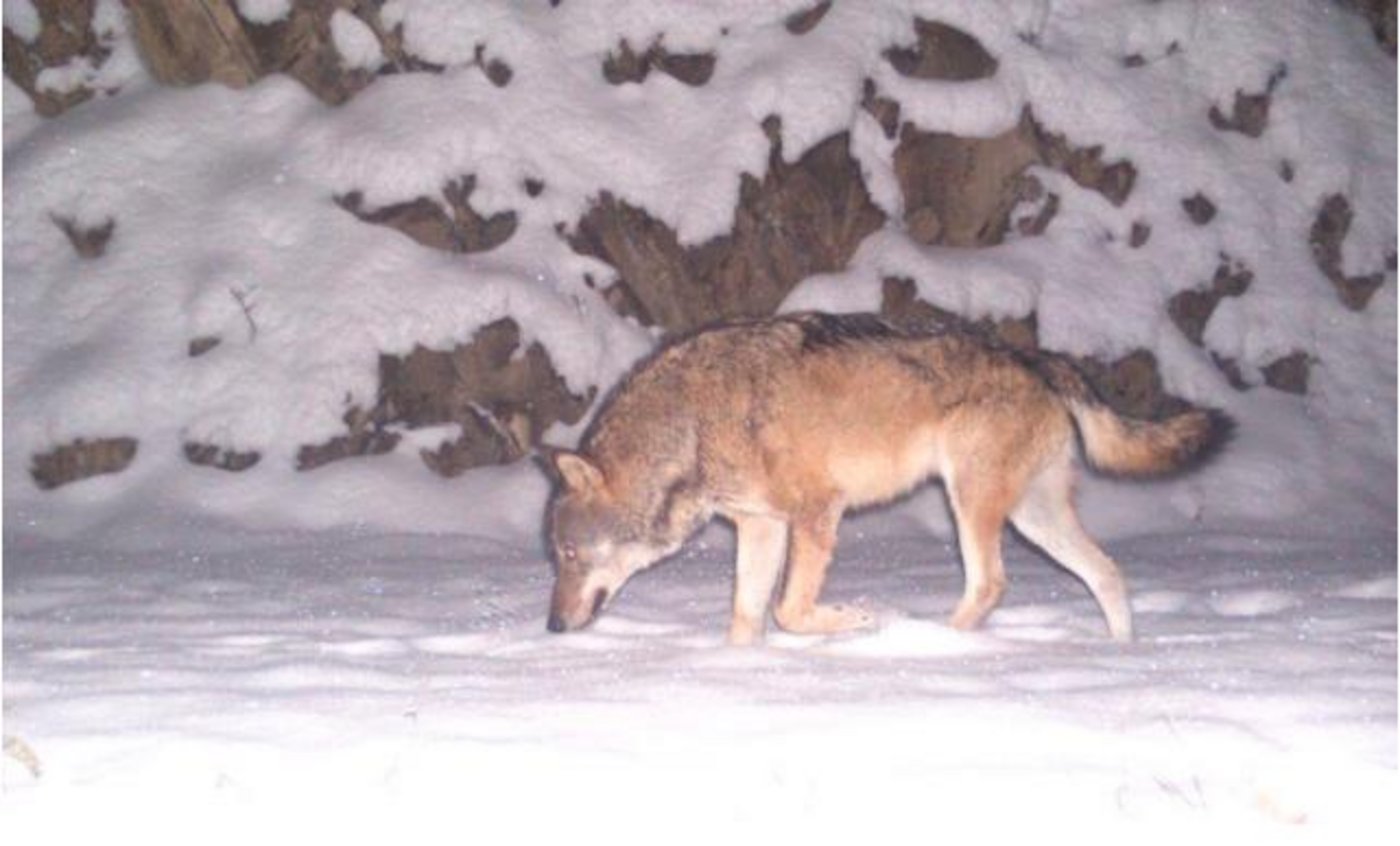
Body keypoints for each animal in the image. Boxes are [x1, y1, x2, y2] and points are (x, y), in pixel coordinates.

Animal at [541, 311, 1232, 645]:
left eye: (570, 554)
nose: (550, 626)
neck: (692, 423)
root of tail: (1037, 356)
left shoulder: (817, 512)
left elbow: (790, 611)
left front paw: (857, 620)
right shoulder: (760, 528)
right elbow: (746, 618)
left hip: (971, 504)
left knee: (991, 584)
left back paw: (932, 644)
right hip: (1034, 519)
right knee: (1107, 574)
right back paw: (1120, 654)